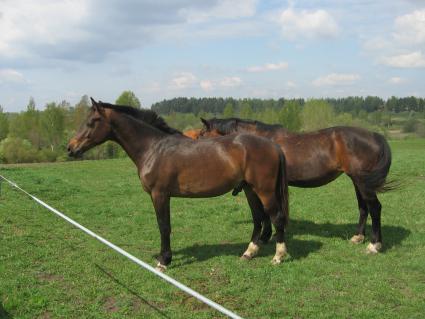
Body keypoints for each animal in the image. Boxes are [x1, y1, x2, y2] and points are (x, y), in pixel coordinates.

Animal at [68, 100, 290, 270]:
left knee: (276, 218)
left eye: (92, 122)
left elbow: (164, 226)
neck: (154, 148)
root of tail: (273, 145)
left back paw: (278, 257)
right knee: (258, 218)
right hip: (249, 189)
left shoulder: (160, 194)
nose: (71, 148)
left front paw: (164, 261)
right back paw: (249, 253)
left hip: (265, 191)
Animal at [199, 117, 390, 255]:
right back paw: (358, 237)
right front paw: (266, 237)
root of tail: (374, 135)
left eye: (201, 135)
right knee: (363, 207)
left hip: (363, 183)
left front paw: (264, 237)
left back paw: (374, 245)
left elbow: (265, 213)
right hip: (359, 181)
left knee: (375, 208)